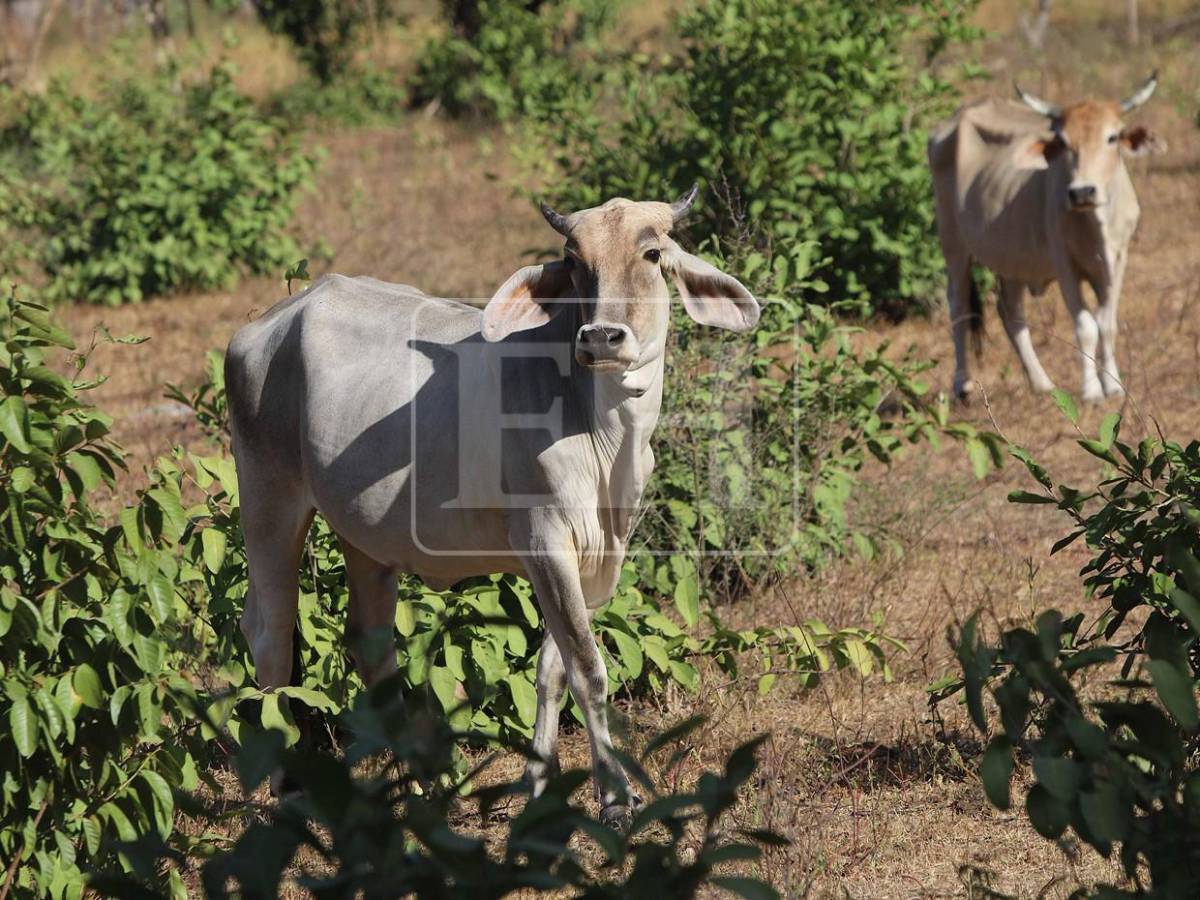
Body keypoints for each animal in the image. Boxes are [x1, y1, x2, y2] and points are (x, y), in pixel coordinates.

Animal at [224, 188, 759, 827]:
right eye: (573, 261)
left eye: (653, 254)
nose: (601, 337)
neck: (606, 434)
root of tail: (272, 321)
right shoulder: (545, 543)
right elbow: (589, 670)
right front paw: (615, 797)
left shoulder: (599, 556)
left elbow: (554, 669)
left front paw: (538, 785)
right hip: (268, 497)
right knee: (271, 633)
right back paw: (288, 787)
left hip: (365, 536)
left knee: (368, 643)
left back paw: (421, 784)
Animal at [928, 73, 1162, 402]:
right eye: (1062, 142)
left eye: (1112, 137)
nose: (1082, 191)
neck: (1094, 223)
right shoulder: (1064, 263)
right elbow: (1086, 326)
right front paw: (1091, 391)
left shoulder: (1118, 259)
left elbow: (1107, 324)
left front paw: (1114, 385)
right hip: (953, 243)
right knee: (958, 305)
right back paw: (962, 383)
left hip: (1011, 258)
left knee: (1011, 312)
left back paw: (1040, 382)